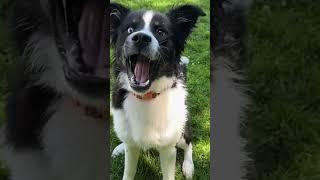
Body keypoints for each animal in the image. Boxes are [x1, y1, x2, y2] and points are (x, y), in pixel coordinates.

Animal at [110, 2, 205, 180]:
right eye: (130, 29)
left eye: (161, 32)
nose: (141, 38)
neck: (145, 97)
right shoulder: (132, 147)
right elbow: (128, 171)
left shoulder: (168, 150)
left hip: (183, 130)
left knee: (189, 143)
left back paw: (188, 166)